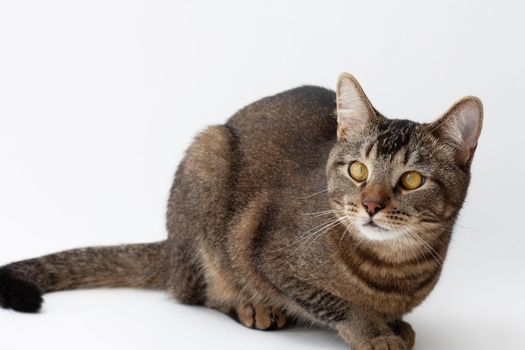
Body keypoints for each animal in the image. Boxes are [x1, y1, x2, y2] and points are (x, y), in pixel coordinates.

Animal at [0, 72, 484, 348]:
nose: (370, 205)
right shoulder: (271, 258)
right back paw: (250, 306)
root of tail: (171, 249)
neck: (393, 268)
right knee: (198, 291)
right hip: (207, 159)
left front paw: (393, 324)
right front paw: (373, 332)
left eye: (412, 180)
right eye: (358, 170)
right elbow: (338, 304)